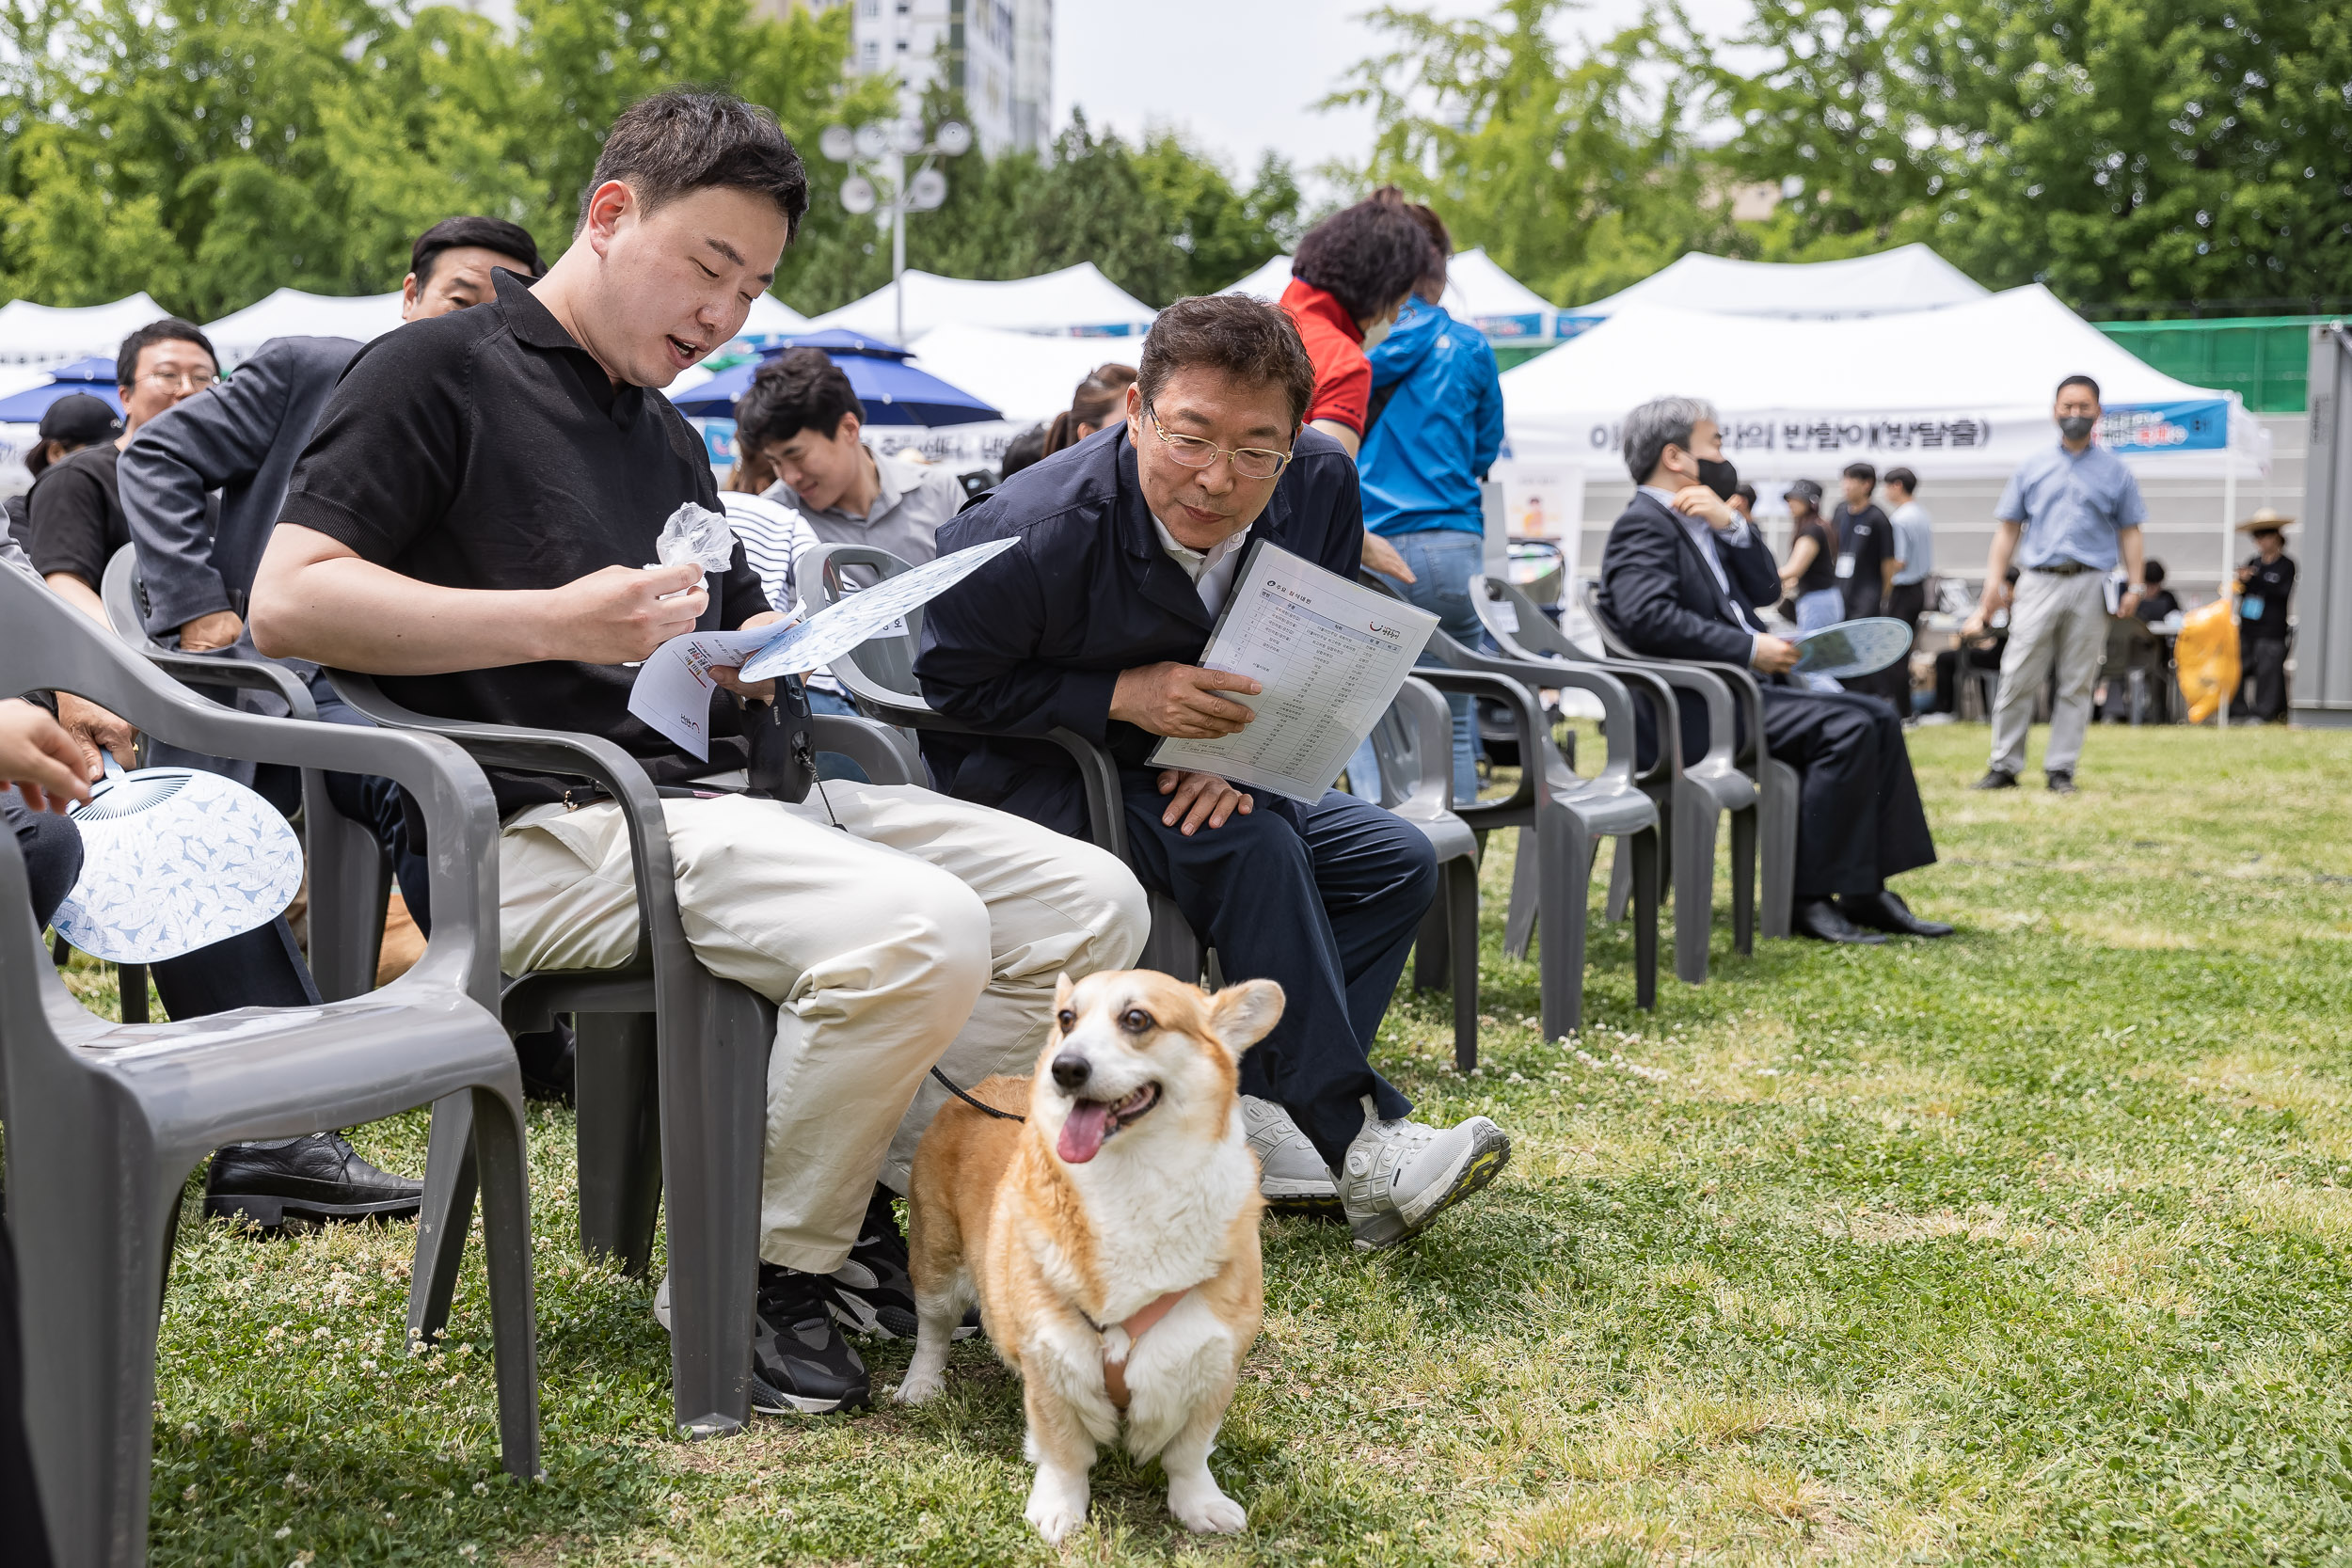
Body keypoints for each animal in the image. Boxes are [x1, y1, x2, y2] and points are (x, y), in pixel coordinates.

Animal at [894, 968, 1289, 1542]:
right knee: (934, 1328)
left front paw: (1202, 1506)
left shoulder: (1212, 1357)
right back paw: (921, 1385)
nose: (1065, 1068)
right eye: (1067, 1018)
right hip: (936, 1259)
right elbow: (1064, 1452)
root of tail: (980, 1086)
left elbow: (1189, 1453)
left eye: (1137, 1019)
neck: (1131, 1181)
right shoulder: (1052, 1358)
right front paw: (1059, 1511)